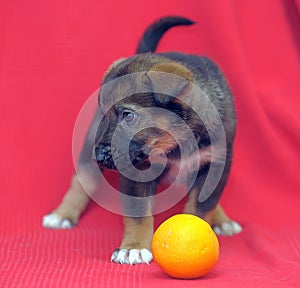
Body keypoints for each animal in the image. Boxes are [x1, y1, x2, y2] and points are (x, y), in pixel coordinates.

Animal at [43, 17, 243, 266]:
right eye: (104, 115)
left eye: (128, 115)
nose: (98, 156)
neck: (176, 140)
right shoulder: (135, 172)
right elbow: (138, 215)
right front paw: (134, 248)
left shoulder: (215, 163)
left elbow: (201, 206)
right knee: (82, 180)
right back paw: (62, 214)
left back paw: (222, 219)